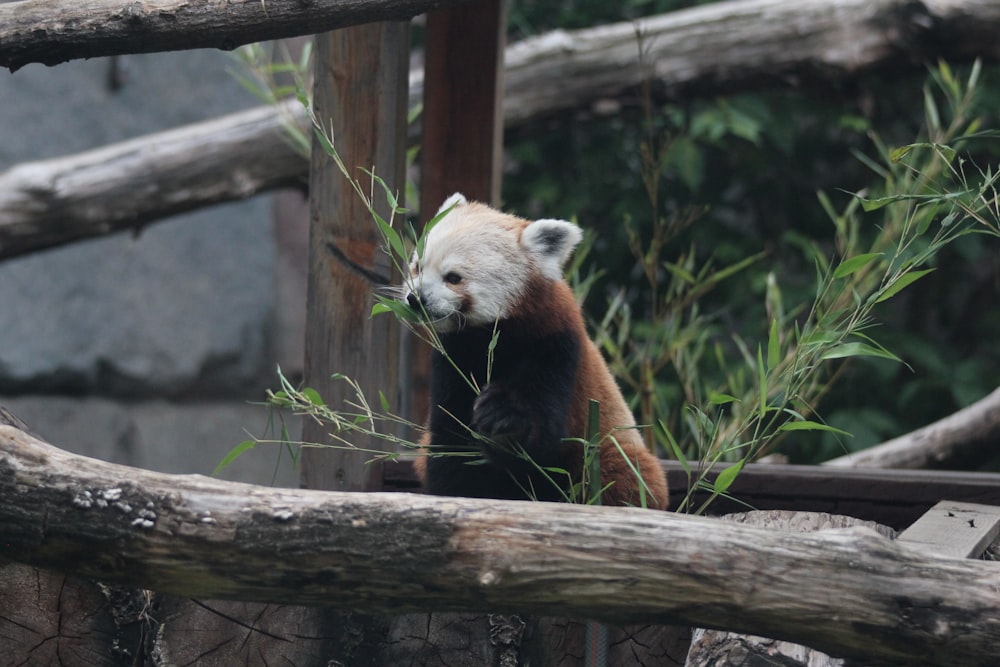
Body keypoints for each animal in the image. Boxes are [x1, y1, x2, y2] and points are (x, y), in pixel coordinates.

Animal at [406, 193, 672, 512]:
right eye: (418, 267)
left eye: (453, 277)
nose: (415, 298)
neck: (491, 337)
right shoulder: (453, 358)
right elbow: (450, 438)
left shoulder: (554, 348)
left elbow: (541, 428)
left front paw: (501, 422)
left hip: (609, 447)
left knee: (621, 472)